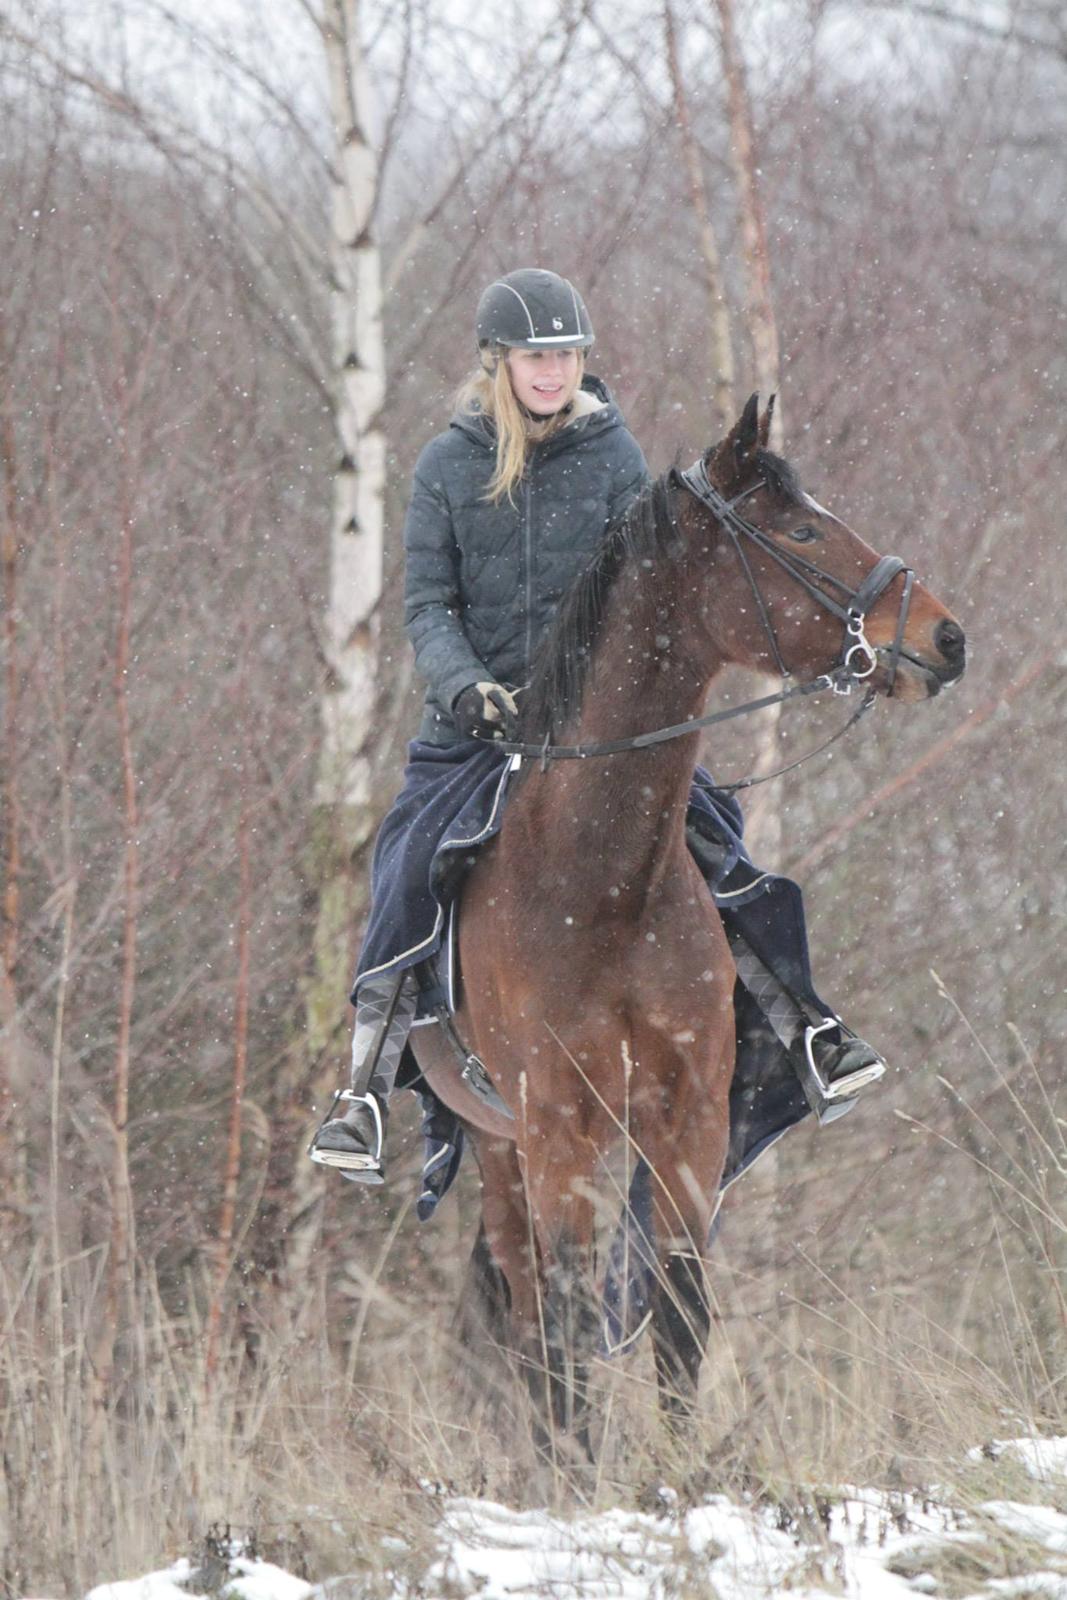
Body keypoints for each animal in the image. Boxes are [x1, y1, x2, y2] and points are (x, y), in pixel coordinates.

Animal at [412, 396, 966, 1440]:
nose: (947, 637)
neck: (600, 888)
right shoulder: (556, 1131)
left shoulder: (686, 1126)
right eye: (800, 531)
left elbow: (677, 1317)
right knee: (528, 1316)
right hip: (500, 1150)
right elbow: (570, 1329)